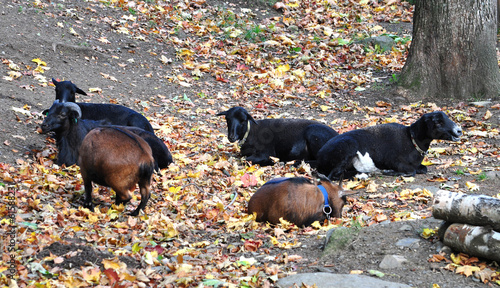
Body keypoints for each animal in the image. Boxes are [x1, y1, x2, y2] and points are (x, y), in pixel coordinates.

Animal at [318, 111, 462, 179]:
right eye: (437, 122)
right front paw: (389, 171)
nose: (459, 131)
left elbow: (423, 168)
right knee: (332, 176)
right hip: (348, 147)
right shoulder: (397, 163)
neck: (411, 139)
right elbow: (411, 172)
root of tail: (321, 154)